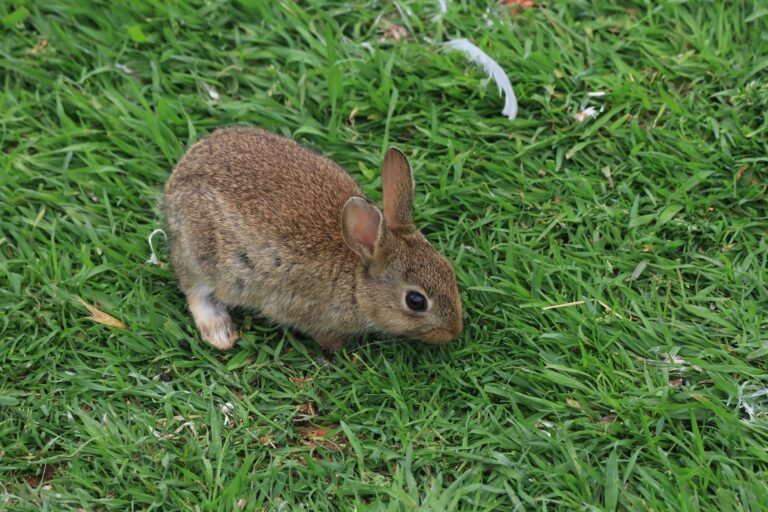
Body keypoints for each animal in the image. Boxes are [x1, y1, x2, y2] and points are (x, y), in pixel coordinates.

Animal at [163, 125, 462, 353]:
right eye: (416, 301)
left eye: (449, 269)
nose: (453, 332)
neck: (357, 281)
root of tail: (177, 179)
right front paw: (338, 346)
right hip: (202, 255)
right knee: (195, 290)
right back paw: (220, 333)